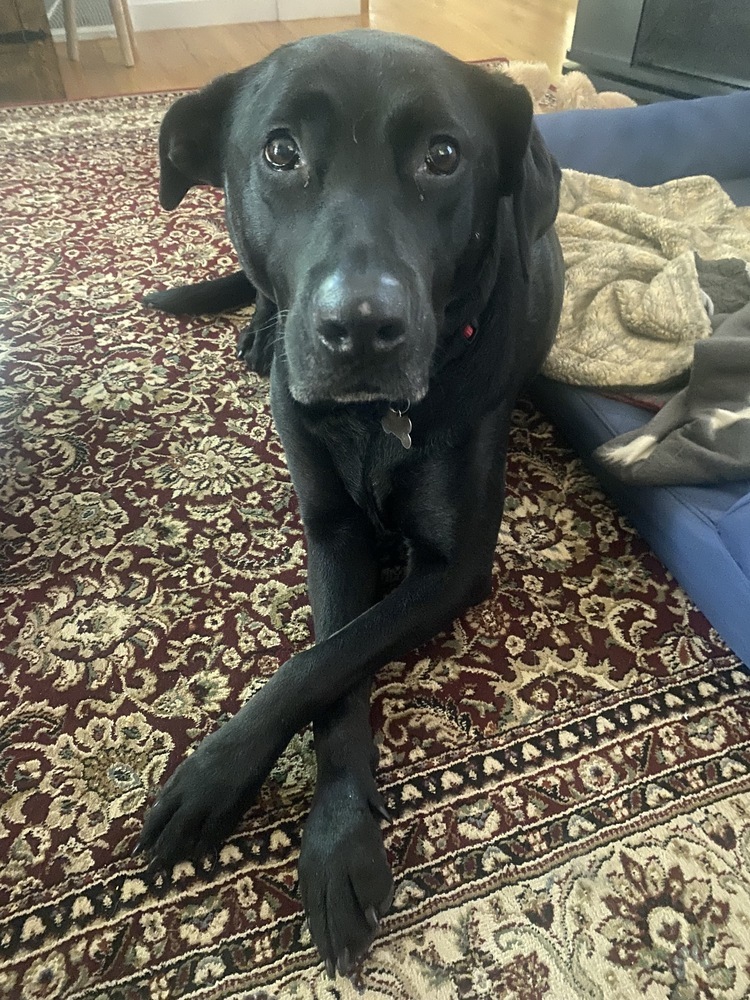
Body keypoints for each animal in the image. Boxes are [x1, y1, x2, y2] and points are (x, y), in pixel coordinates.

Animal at [140, 29, 564, 976]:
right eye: (280, 152)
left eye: (443, 156)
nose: (362, 329)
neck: (376, 419)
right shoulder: (331, 529)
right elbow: (326, 659)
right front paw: (325, 830)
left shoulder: (453, 568)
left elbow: (324, 663)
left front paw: (230, 784)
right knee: (260, 301)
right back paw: (251, 328)